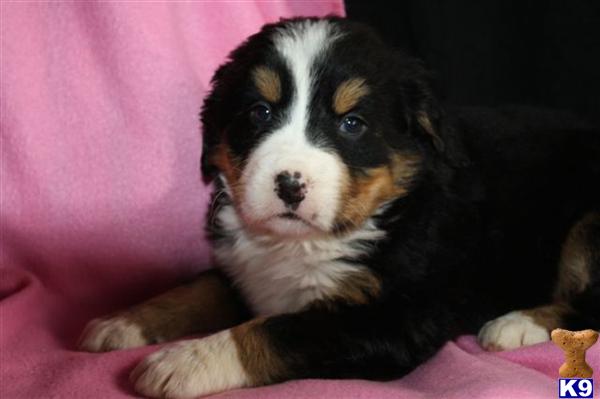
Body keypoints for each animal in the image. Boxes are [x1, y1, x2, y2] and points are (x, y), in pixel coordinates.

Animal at [79, 17, 600, 398]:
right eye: (259, 113)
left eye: (352, 123)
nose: (289, 185)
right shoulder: (243, 272)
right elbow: (195, 290)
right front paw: (121, 323)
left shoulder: (393, 319)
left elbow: (276, 330)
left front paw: (184, 362)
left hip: (588, 226)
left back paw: (516, 324)